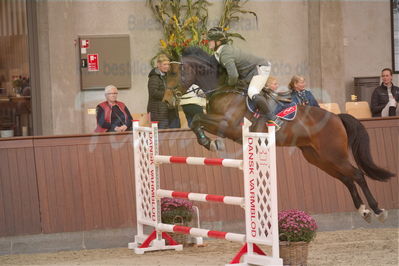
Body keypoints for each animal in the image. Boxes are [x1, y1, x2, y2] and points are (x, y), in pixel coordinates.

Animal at [164, 47, 396, 222]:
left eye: (174, 73)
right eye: (165, 73)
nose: (166, 101)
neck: (222, 89)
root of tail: (336, 117)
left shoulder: (227, 125)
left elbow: (197, 118)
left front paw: (210, 143)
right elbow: (196, 121)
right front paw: (208, 143)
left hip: (334, 154)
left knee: (357, 174)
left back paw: (377, 210)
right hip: (318, 157)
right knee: (346, 178)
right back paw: (363, 210)